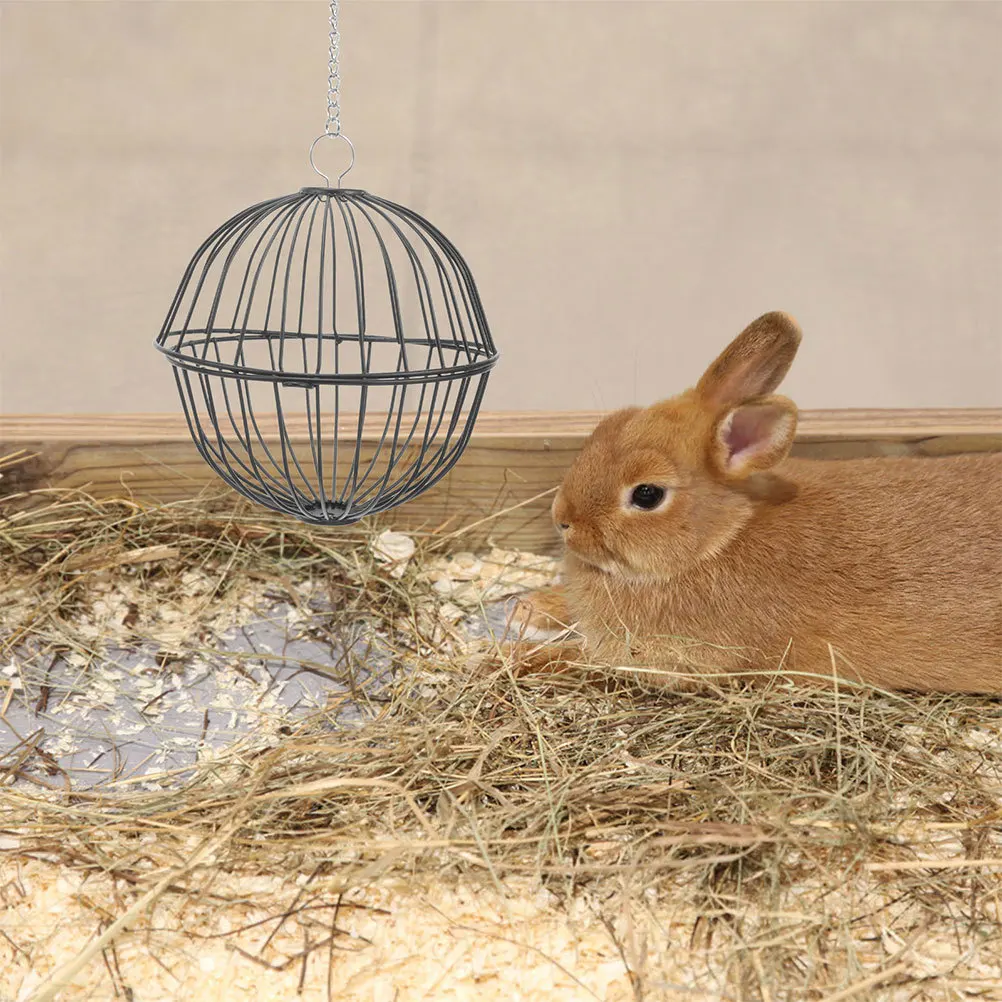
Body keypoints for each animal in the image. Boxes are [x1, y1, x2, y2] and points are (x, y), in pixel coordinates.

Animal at [511, 312, 1002, 694]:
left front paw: (508, 655)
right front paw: (527, 607)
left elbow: (572, 659)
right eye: (612, 423)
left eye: (647, 494)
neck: (719, 538)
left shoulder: (662, 657)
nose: (562, 520)